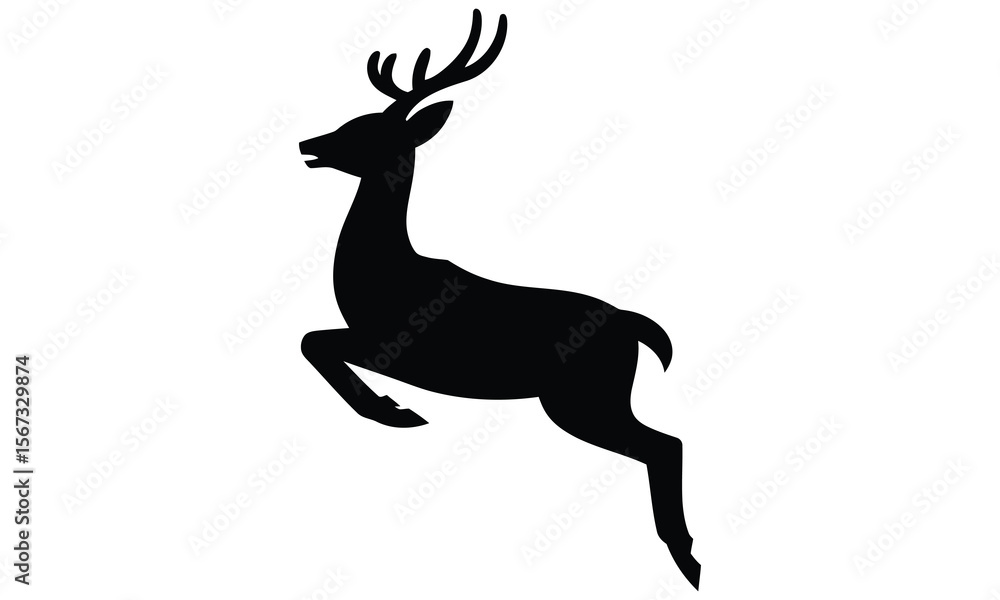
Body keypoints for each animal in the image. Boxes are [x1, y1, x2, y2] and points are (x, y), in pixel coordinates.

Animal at [298, 10, 701, 589]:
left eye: (367, 130)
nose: (308, 143)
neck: (385, 274)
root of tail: (634, 325)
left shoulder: (396, 345)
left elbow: (313, 341)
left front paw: (395, 412)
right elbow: (314, 341)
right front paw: (396, 410)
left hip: (582, 399)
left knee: (666, 444)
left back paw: (687, 558)